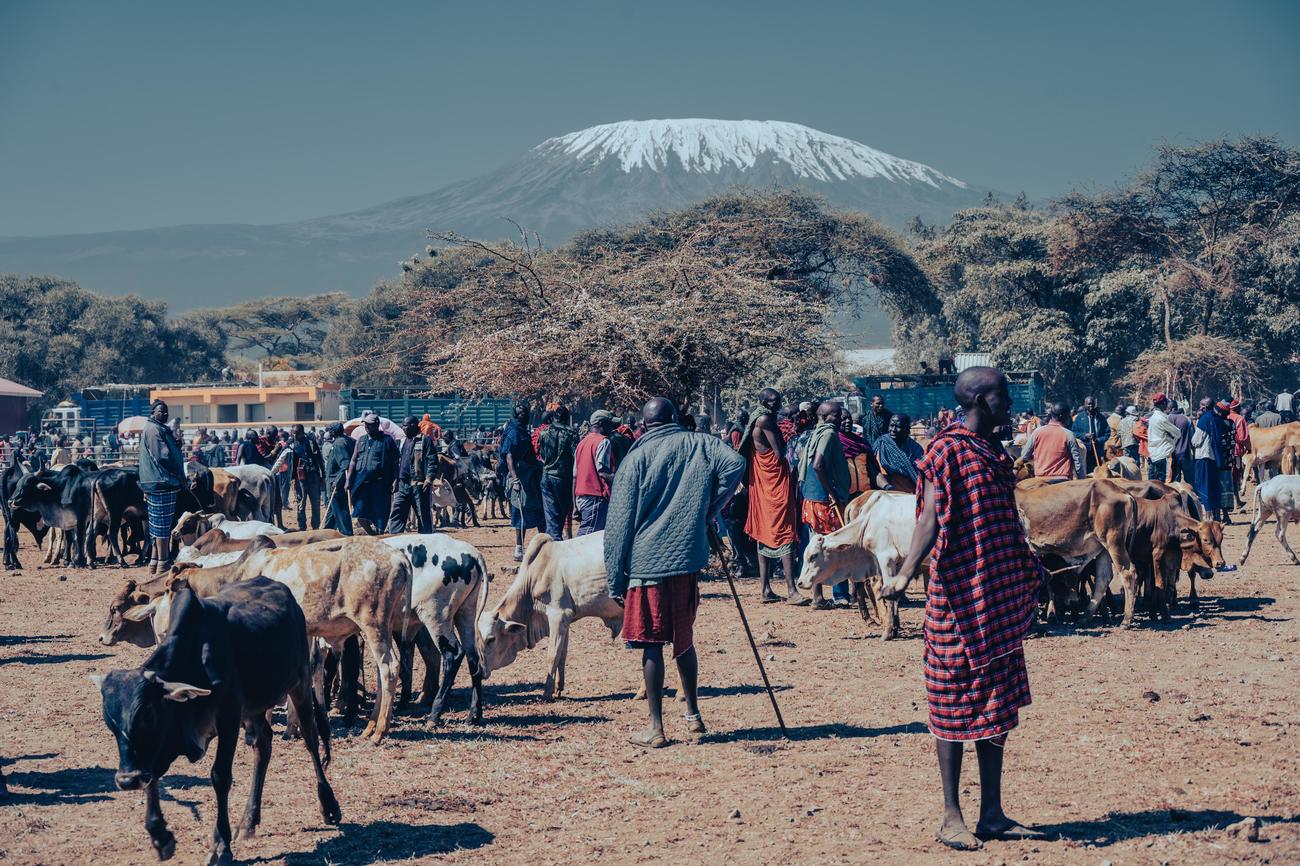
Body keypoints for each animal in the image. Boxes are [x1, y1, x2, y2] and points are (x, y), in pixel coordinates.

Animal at [94, 572, 343, 863]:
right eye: (111, 723)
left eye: (147, 714)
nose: (127, 780)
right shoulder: (164, 740)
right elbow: (153, 774)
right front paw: (160, 835)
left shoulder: (228, 718)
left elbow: (220, 776)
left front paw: (220, 846)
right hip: (254, 708)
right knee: (264, 744)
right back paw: (248, 821)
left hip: (300, 682)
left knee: (311, 739)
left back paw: (329, 805)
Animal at [478, 525, 624, 702]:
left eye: (491, 639)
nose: (480, 671)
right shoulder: (566, 620)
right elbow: (562, 654)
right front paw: (559, 687)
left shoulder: (558, 615)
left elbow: (552, 654)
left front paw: (547, 692)